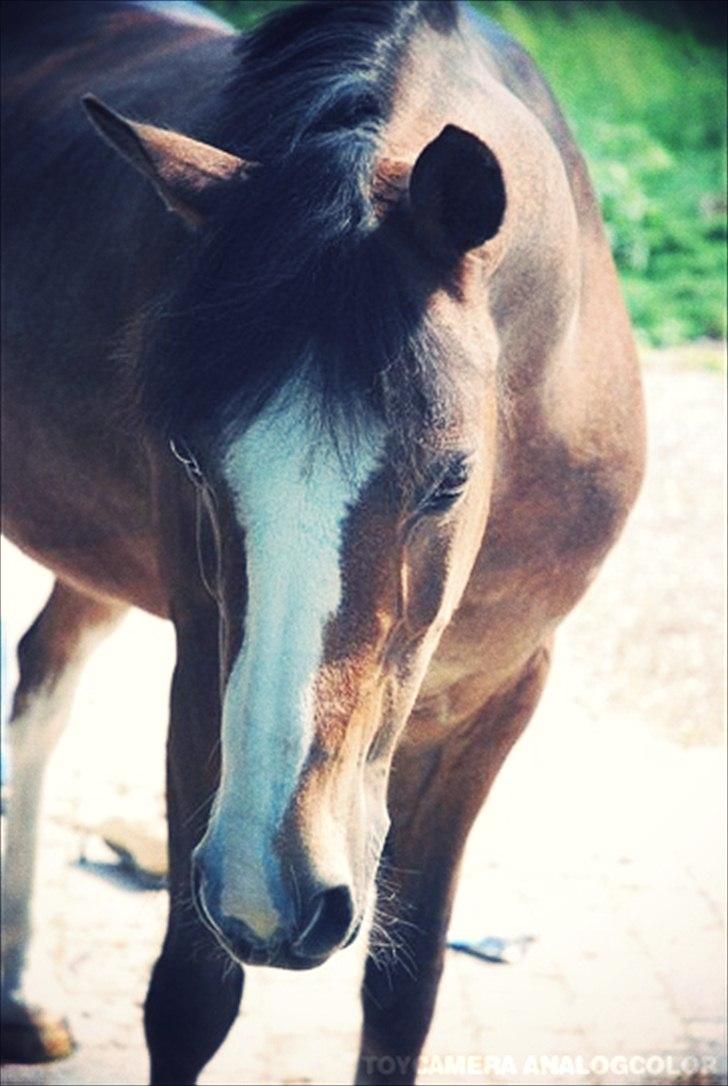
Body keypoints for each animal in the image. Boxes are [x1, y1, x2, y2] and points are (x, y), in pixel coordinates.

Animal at [0, 1, 645, 1082]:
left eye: (451, 477)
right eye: (188, 456)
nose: (275, 893)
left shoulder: (497, 694)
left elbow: (401, 998)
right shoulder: (201, 659)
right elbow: (190, 996)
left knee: (42, 679)